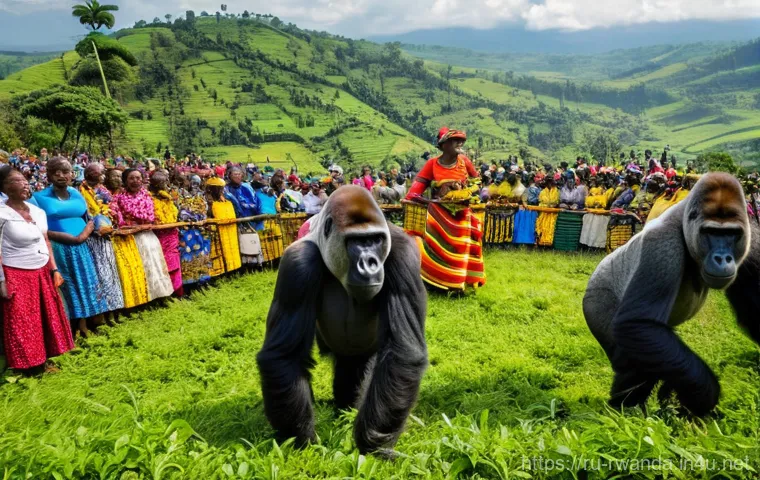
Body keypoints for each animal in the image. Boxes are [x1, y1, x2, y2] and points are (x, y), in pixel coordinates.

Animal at [256, 185, 428, 457]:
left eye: (376, 239)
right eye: (355, 241)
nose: (370, 263)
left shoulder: (403, 254)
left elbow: (403, 351)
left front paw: (373, 443)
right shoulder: (297, 264)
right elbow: (284, 356)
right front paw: (300, 440)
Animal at [583, 172, 758, 416]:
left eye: (732, 233)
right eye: (711, 232)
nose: (722, 258)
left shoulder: (752, 236)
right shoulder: (662, 246)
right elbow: (637, 324)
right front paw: (704, 395)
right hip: (596, 300)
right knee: (635, 356)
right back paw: (623, 411)